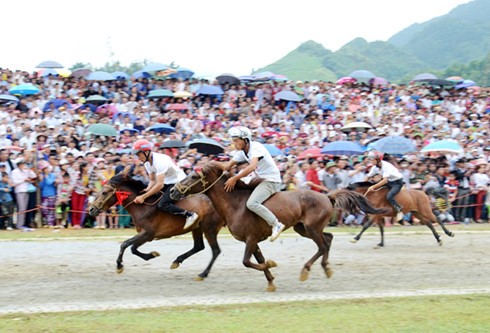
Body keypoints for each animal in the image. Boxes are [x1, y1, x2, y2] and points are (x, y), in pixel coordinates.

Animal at [87, 170, 224, 278]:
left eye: (104, 192)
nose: (91, 209)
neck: (142, 206)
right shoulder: (146, 235)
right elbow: (133, 248)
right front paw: (151, 255)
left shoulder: (148, 233)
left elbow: (125, 244)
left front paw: (119, 265)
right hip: (197, 227)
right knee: (199, 246)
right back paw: (177, 261)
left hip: (209, 228)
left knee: (215, 250)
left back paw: (203, 274)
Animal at [170, 161, 388, 290]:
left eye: (194, 176)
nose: (173, 191)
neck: (235, 204)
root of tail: (327, 196)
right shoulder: (254, 241)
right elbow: (258, 260)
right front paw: (271, 281)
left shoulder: (250, 239)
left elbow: (247, 262)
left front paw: (272, 266)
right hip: (303, 228)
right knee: (328, 239)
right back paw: (326, 268)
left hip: (311, 228)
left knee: (322, 245)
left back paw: (306, 270)